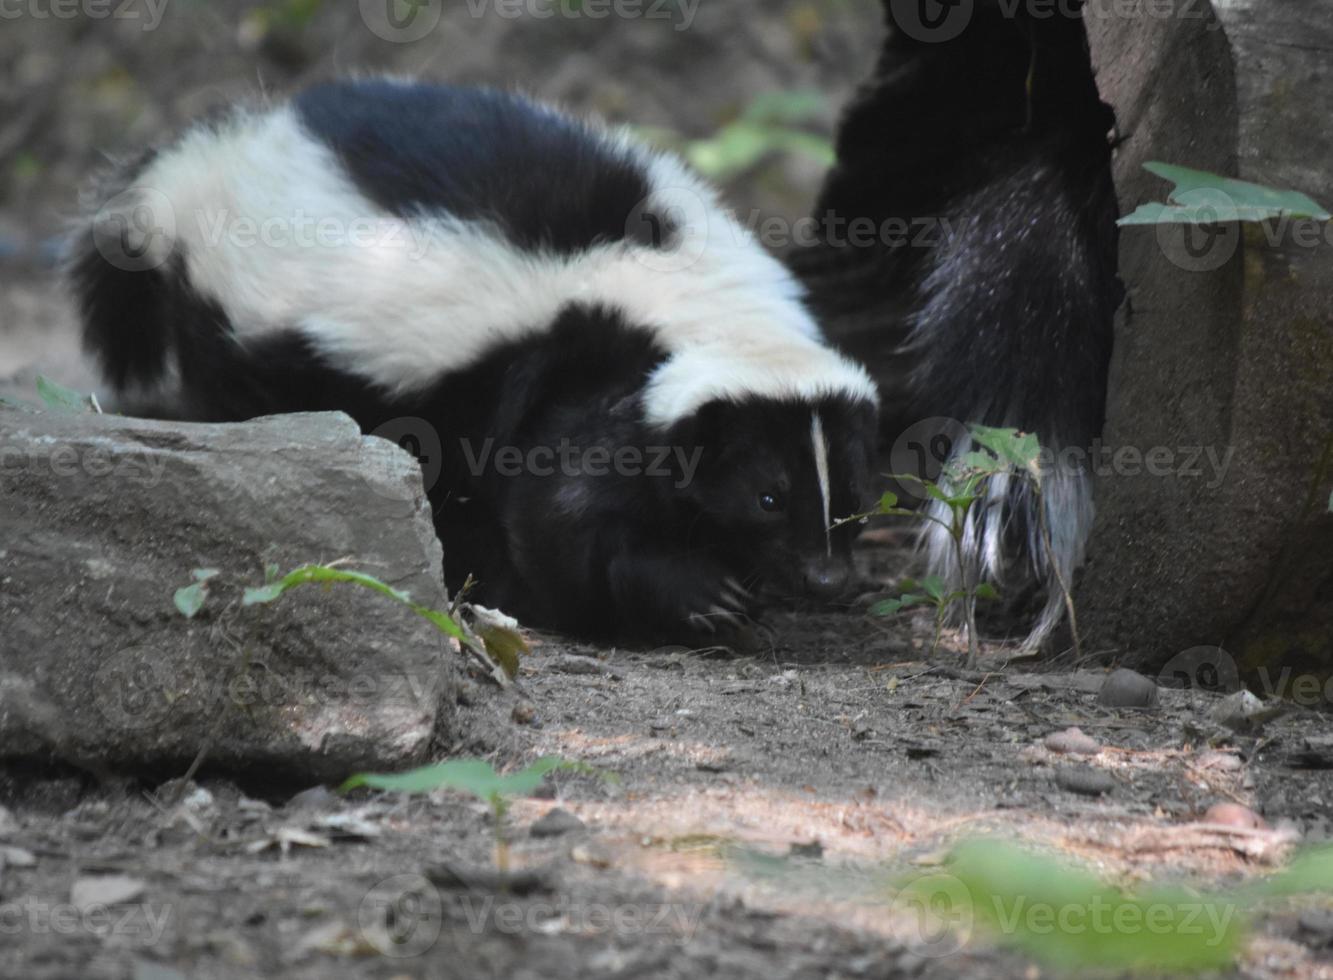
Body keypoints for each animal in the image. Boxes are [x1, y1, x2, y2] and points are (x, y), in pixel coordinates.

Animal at [75, 76, 885, 645]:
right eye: (767, 496)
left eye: (852, 493)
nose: (828, 578)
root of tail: (201, 163)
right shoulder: (569, 369)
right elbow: (559, 514)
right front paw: (689, 593)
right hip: (246, 338)